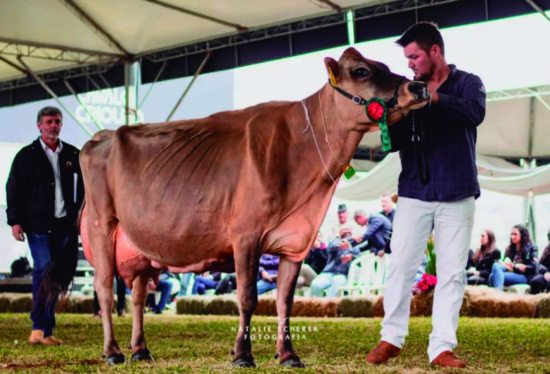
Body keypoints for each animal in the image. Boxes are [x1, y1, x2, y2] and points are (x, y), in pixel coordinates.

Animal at [80, 46, 430, 366]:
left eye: (385, 66)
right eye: (361, 71)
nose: (418, 87)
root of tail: (102, 136)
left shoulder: (295, 243)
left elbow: (284, 301)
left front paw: (288, 354)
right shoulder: (245, 236)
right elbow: (247, 298)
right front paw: (242, 354)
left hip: (141, 250)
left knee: (138, 296)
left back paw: (140, 350)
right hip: (102, 225)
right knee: (104, 289)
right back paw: (112, 352)